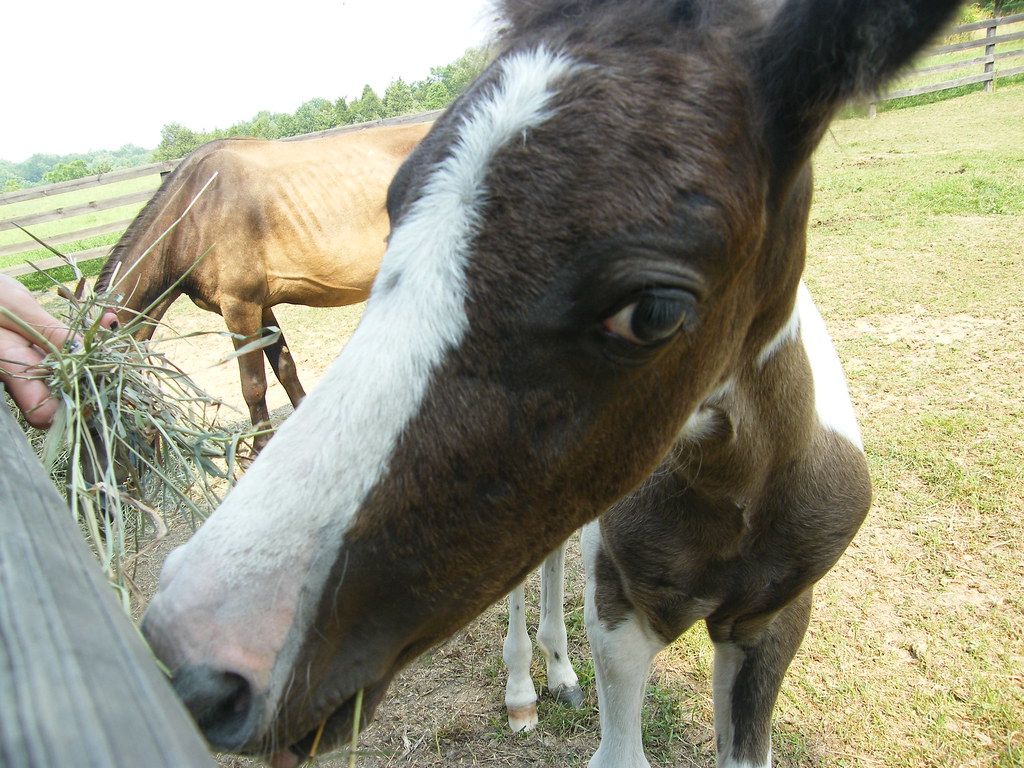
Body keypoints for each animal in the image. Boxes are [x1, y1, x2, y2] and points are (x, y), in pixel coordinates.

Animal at [95, 120, 431, 450]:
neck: (194, 214)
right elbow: (285, 368)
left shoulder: (239, 308)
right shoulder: (262, 307)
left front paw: (260, 446)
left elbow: (253, 385)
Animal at [142, 0, 962, 766]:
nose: (197, 657)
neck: (738, 489)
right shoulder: (620, 612)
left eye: (653, 310)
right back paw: (527, 687)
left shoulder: (774, 623)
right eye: (395, 212)